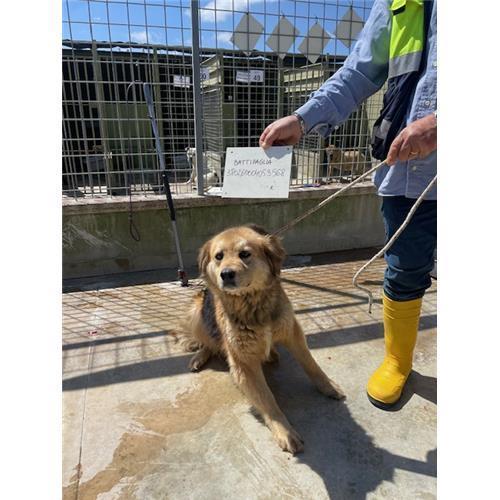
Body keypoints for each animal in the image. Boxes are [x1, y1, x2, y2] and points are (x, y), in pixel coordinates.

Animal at [176, 224, 345, 454]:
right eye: (219, 256)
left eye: (244, 254)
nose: (226, 274)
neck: (251, 302)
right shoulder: (244, 362)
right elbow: (266, 398)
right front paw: (284, 430)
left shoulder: (292, 331)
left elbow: (311, 365)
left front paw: (328, 387)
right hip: (197, 310)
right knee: (209, 342)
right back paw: (199, 356)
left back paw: (271, 353)